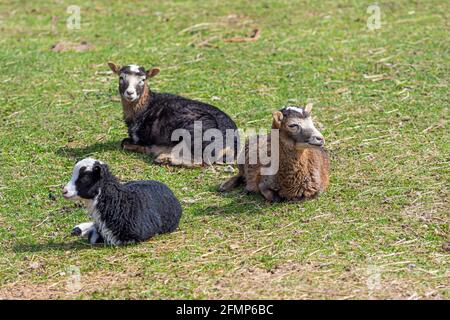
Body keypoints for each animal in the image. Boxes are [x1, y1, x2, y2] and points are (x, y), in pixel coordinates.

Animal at [107, 62, 239, 168]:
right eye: (121, 77)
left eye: (143, 80)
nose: (130, 93)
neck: (145, 106)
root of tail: (231, 145)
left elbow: (124, 143)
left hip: (198, 131)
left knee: (201, 161)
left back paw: (164, 159)